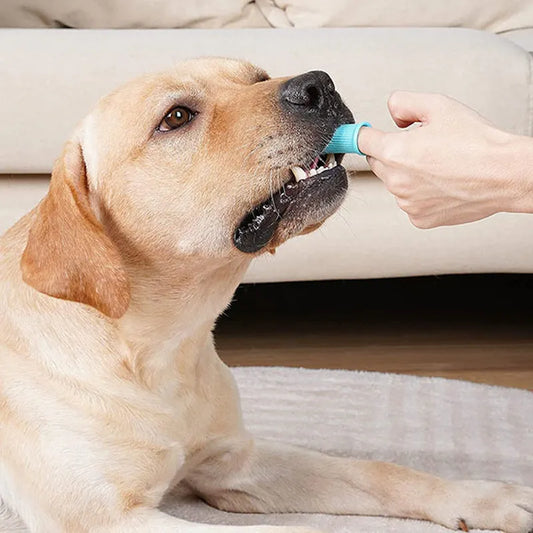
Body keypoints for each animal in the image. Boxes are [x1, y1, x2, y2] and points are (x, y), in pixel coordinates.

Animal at [0, 56, 528, 528]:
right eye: (176, 117)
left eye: (257, 77)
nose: (319, 85)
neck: (161, 353)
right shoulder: (105, 518)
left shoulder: (235, 463)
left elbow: (379, 472)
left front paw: (485, 498)